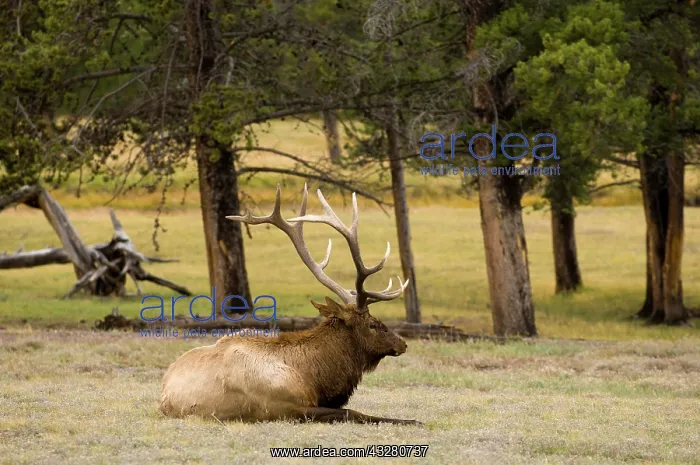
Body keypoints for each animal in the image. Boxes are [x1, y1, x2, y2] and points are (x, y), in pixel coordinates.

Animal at [159, 184, 421, 426]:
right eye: (373, 324)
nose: (403, 342)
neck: (313, 377)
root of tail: (163, 390)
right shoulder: (286, 408)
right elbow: (353, 412)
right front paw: (411, 420)